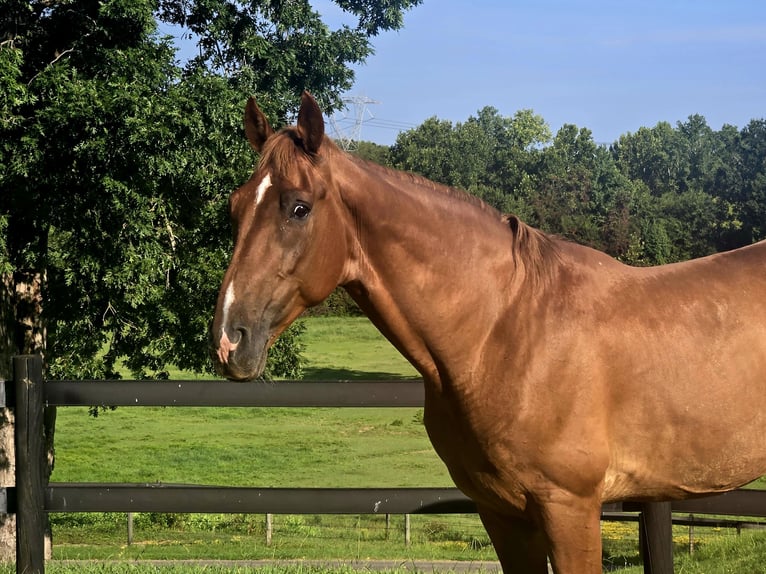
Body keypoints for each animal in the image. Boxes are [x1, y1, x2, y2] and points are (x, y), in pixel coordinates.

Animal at [210, 91, 766, 573]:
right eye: (235, 207)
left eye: (299, 207)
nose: (229, 339)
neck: (501, 333)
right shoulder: (502, 513)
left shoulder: (570, 509)